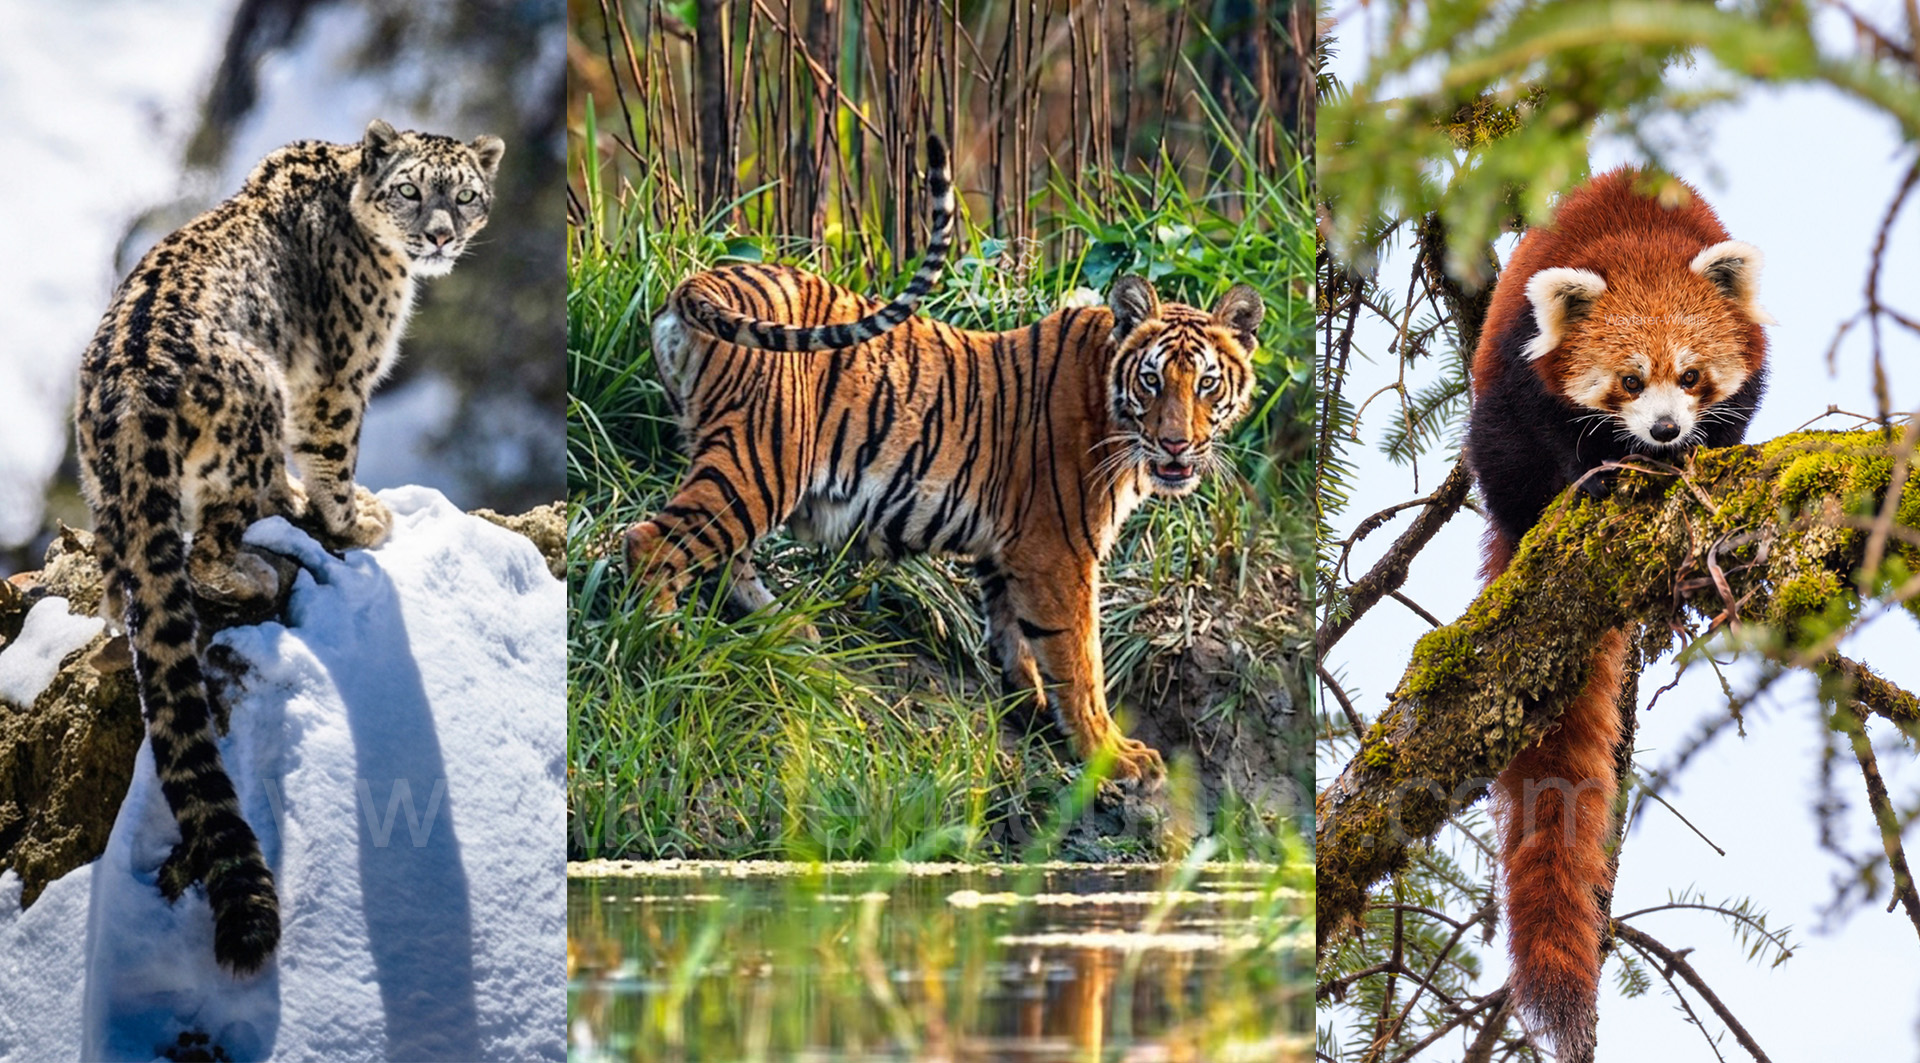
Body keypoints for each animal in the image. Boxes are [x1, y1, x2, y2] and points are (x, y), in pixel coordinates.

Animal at [624, 135, 1263, 782]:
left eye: (1206, 384)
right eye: (1152, 381)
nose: (1176, 444)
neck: (1110, 407)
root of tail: (703, 279)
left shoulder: (1009, 552)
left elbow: (1013, 636)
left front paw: (1030, 708)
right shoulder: (1058, 553)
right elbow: (1079, 659)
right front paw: (1111, 754)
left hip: (734, 455)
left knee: (726, 556)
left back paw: (787, 629)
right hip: (762, 460)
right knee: (651, 541)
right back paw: (663, 641)